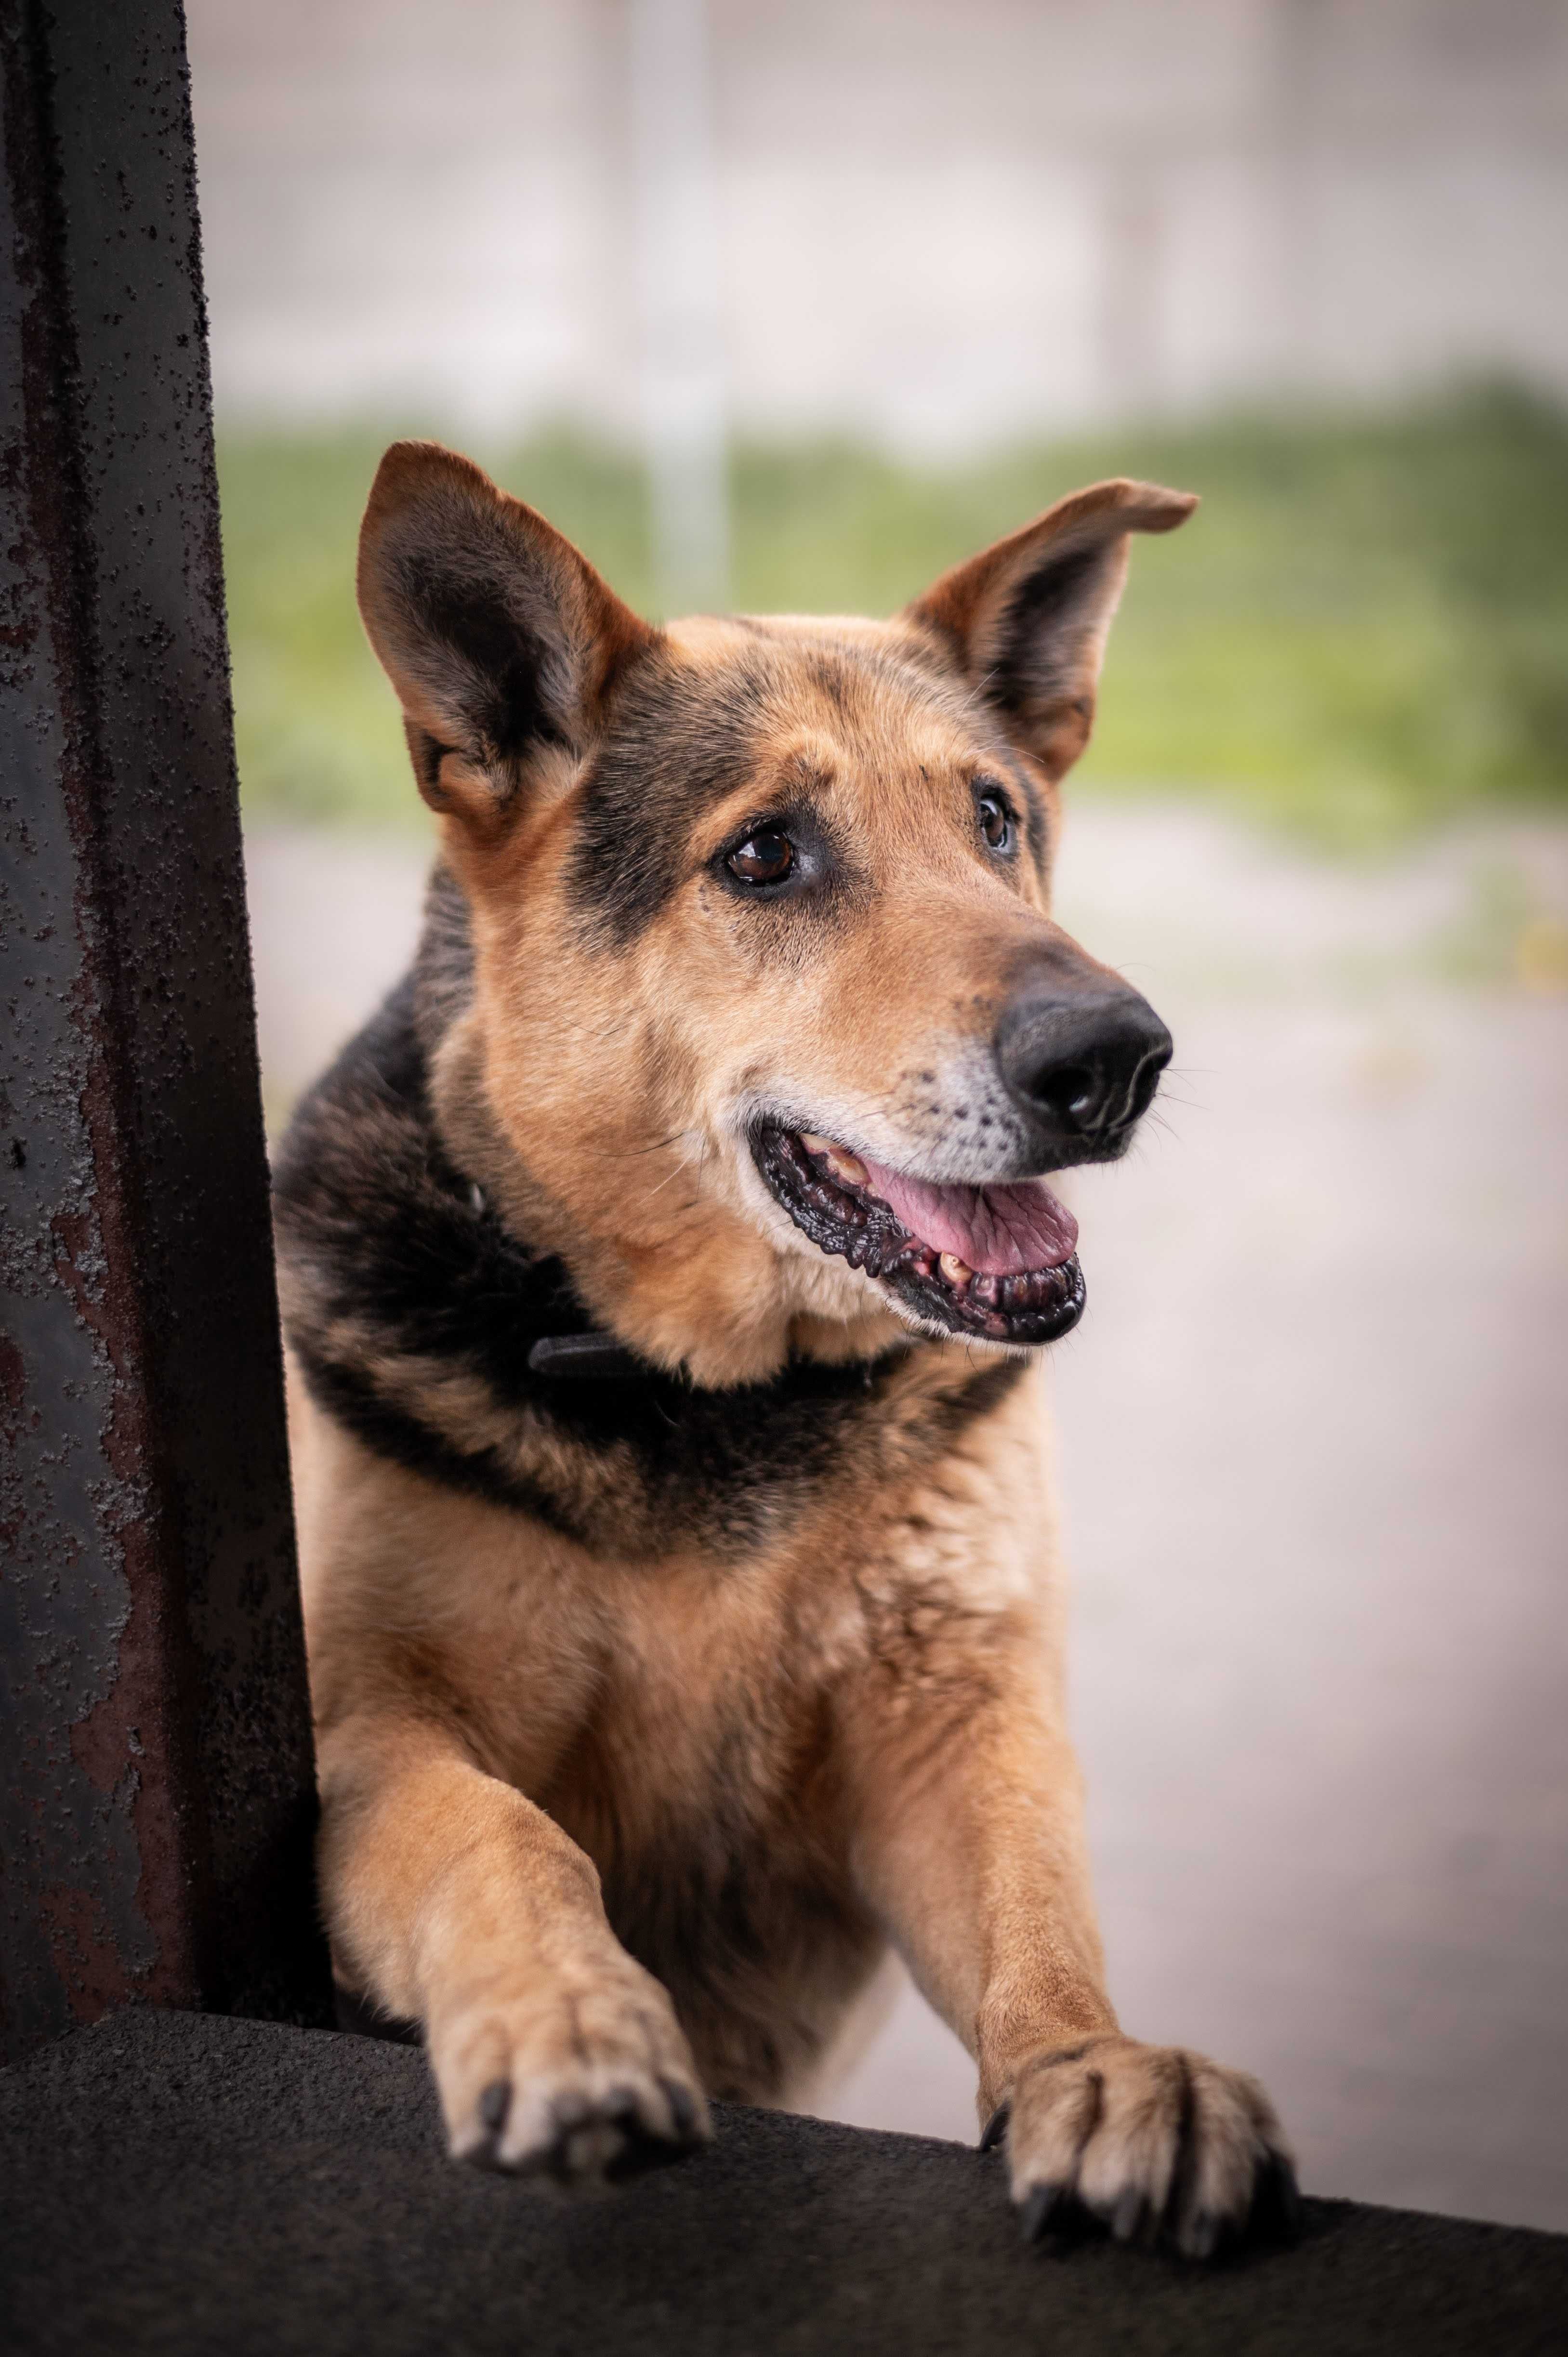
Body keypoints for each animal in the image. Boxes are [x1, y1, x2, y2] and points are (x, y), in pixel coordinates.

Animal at [272, 434, 1292, 2253]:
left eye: (994, 819)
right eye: (761, 857)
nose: (1117, 1057)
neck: (699, 1383)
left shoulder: (953, 1729)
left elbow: (1038, 1913)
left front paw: (1099, 2069)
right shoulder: (367, 1738)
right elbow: (499, 1834)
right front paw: (567, 2015)